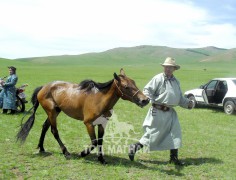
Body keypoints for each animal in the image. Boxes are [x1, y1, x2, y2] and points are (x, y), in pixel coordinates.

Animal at [16, 68, 149, 164]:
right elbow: (94, 142)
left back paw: (42, 148)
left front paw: (101, 159)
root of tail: (43, 87)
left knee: (44, 127)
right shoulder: (89, 123)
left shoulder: (102, 124)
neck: (100, 99)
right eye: (126, 86)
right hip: (52, 112)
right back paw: (66, 152)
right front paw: (82, 154)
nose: (145, 100)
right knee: (54, 131)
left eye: (134, 83)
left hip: (55, 112)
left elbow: (100, 141)